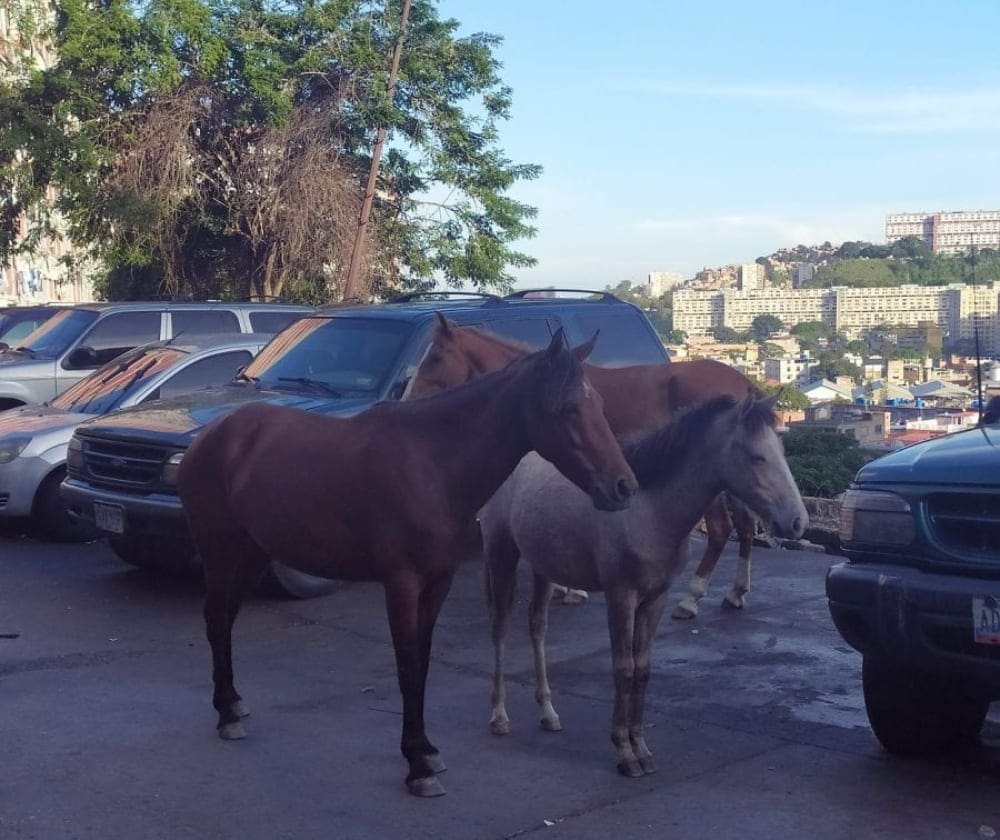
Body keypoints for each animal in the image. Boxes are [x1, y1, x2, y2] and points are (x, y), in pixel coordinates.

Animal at [176, 330, 638, 798]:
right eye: (569, 408)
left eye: (599, 403)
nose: (623, 486)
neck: (433, 462)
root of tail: (208, 437)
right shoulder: (401, 583)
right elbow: (408, 665)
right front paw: (417, 765)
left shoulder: (438, 582)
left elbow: (424, 662)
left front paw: (427, 751)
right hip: (220, 552)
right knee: (216, 620)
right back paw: (226, 716)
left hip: (252, 555)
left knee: (227, 619)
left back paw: (234, 705)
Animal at [406, 314, 761, 618]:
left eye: (435, 357)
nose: (408, 397)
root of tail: (743, 383)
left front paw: (570, 588)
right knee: (745, 524)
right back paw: (736, 592)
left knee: (721, 529)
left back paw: (691, 598)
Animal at [480, 394, 807, 776]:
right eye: (758, 457)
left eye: (781, 450)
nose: (798, 522)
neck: (649, 509)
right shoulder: (620, 596)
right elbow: (623, 668)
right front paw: (623, 751)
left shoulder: (655, 598)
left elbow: (643, 669)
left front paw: (641, 747)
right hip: (500, 552)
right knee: (500, 627)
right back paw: (499, 716)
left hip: (543, 565)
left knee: (537, 627)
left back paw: (547, 712)